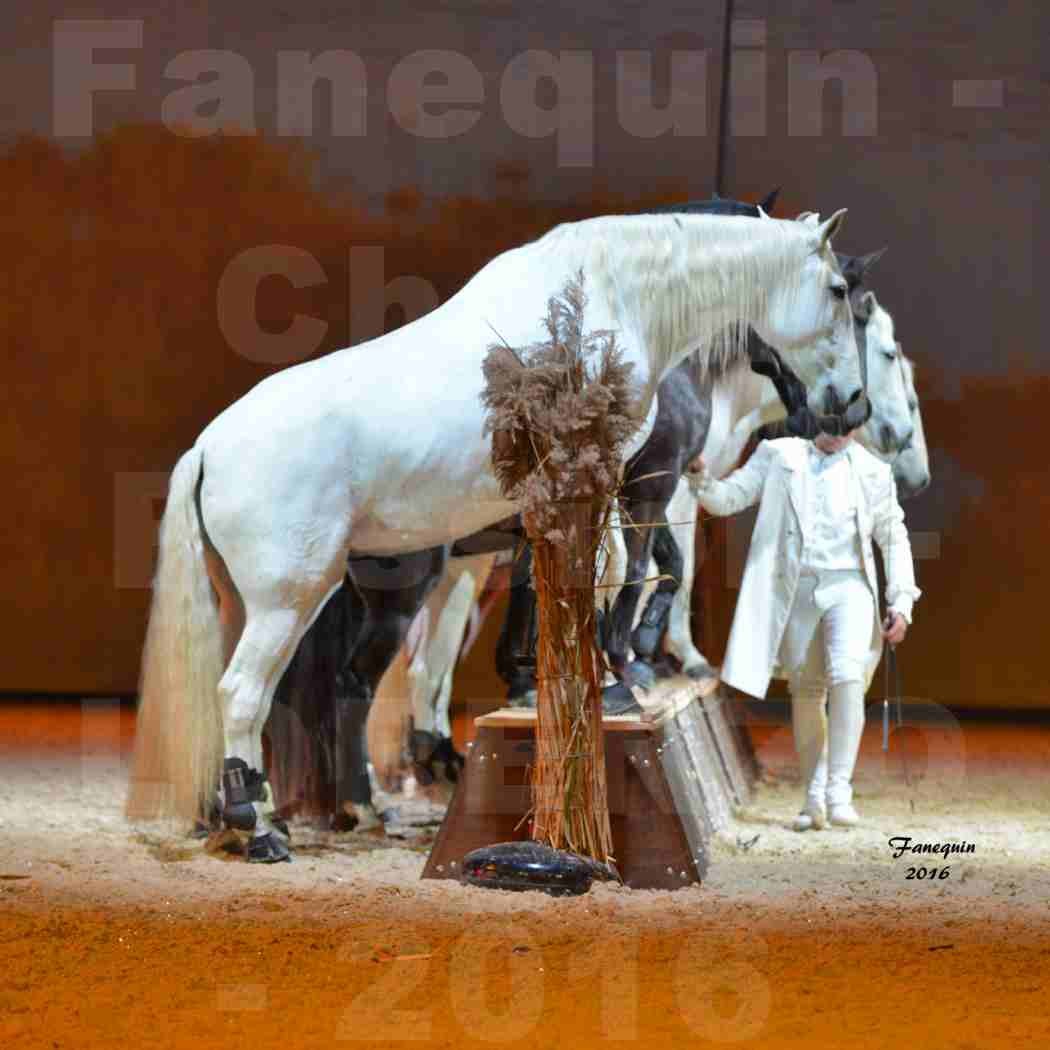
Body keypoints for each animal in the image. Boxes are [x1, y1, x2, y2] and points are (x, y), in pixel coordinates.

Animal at [127, 206, 860, 860]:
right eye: (839, 291)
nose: (851, 404)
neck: (610, 296)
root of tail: (210, 446)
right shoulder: (614, 487)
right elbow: (617, 574)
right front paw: (614, 679)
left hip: (265, 604)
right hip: (293, 600)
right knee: (242, 694)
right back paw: (262, 832)